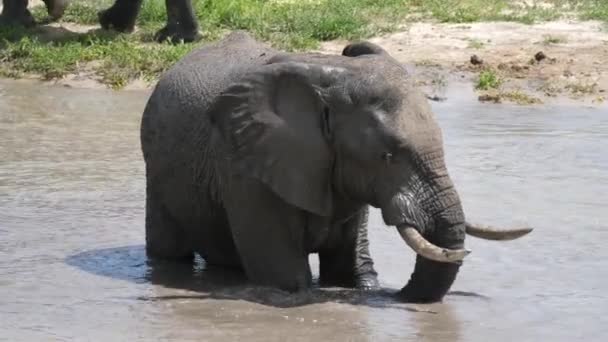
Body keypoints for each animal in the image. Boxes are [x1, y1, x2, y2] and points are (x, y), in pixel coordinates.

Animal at [139, 31, 532, 302]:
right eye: (387, 155)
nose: (394, 294)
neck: (330, 75)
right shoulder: (244, 168)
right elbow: (286, 278)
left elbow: (346, 269)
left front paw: (361, 285)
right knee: (169, 250)